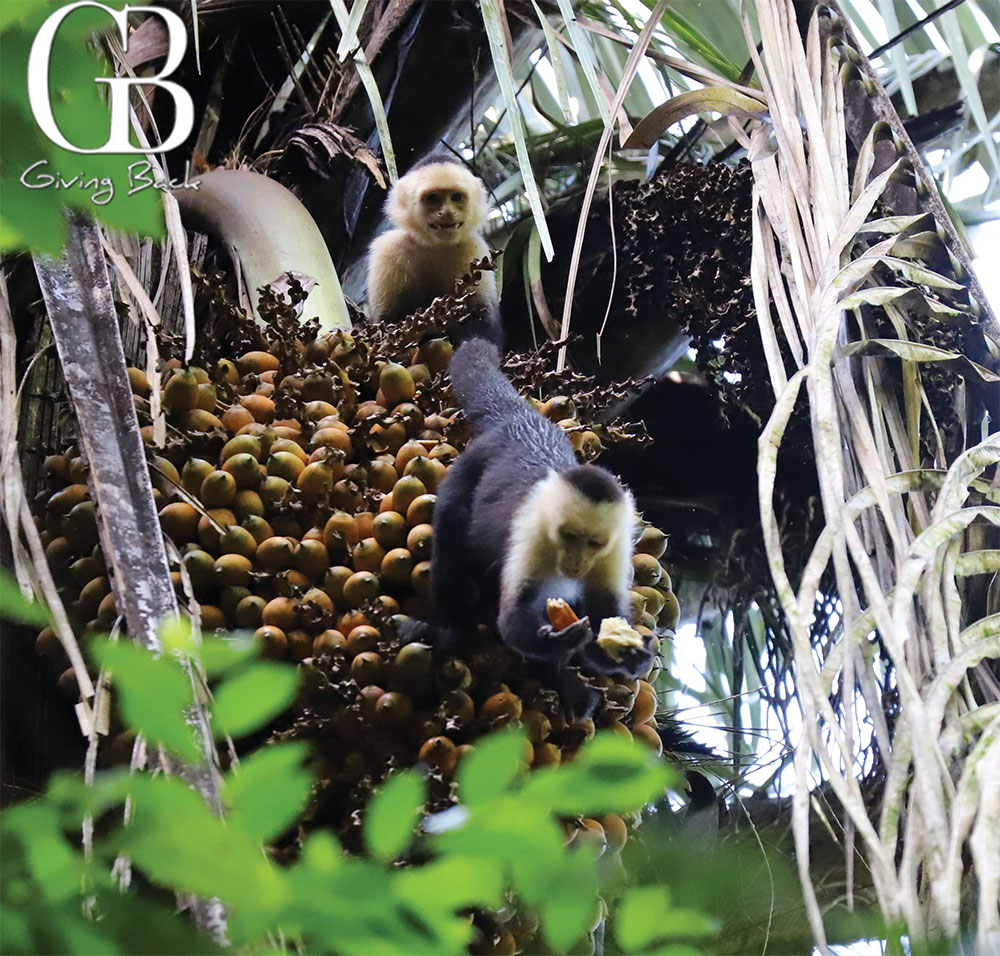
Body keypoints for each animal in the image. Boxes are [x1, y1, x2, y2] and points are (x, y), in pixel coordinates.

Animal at [366, 156, 502, 345]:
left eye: (456, 197)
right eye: (432, 198)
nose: (447, 213)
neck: (435, 245)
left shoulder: (475, 249)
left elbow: (482, 325)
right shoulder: (388, 250)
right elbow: (385, 323)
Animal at [426, 336, 656, 716]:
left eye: (594, 543)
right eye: (569, 536)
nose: (576, 562)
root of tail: (522, 419)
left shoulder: (616, 550)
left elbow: (602, 618)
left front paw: (632, 654)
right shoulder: (531, 534)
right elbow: (512, 618)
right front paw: (556, 641)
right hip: (473, 460)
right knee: (452, 523)